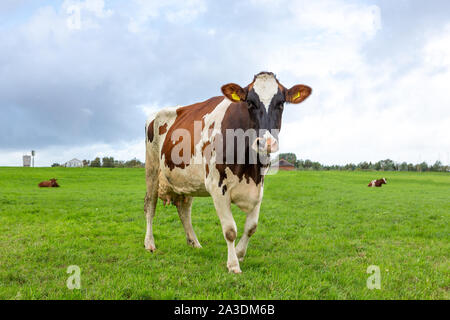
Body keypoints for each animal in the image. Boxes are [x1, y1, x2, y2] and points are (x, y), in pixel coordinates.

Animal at [145, 72, 312, 272]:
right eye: (250, 103)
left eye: (281, 103)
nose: (266, 143)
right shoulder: (217, 187)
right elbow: (230, 230)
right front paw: (233, 265)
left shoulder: (259, 187)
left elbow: (251, 227)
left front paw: (239, 254)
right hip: (152, 168)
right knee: (150, 205)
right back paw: (150, 244)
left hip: (187, 180)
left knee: (184, 210)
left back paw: (194, 243)